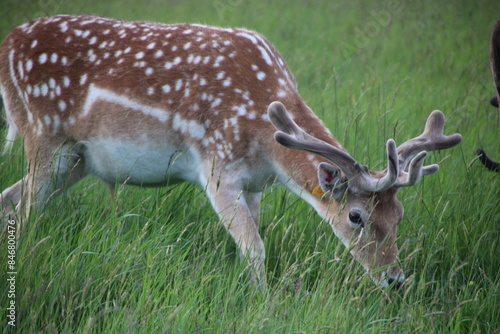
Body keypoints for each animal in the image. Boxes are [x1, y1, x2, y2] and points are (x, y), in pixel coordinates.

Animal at [0, 15, 460, 288]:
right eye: (356, 217)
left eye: (399, 215)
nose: (395, 279)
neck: (267, 142)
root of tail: (7, 45)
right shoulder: (217, 168)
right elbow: (255, 249)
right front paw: (263, 302)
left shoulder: (255, 184)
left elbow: (252, 242)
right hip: (43, 134)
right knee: (24, 209)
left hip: (77, 159)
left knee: (11, 200)